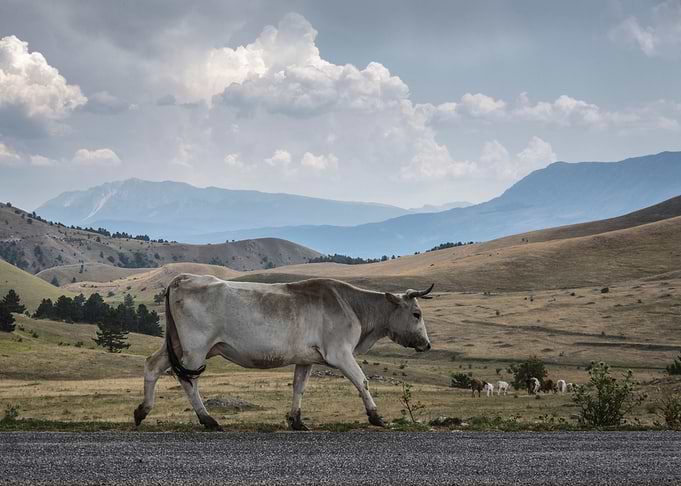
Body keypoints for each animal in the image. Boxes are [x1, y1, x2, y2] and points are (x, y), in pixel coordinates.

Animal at [133, 275, 433, 431]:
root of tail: (183, 278)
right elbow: (363, 381)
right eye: (416, 314)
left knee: (152, 365)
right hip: (196, 348)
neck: (353, 306)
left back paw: (141, 411)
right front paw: (376, 416)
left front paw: (297, 420)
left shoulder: (306, 358)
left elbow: (299, 387)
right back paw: (208, 420)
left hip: (175, 344)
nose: (427, 345)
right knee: (188, 380)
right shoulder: (340, 353)